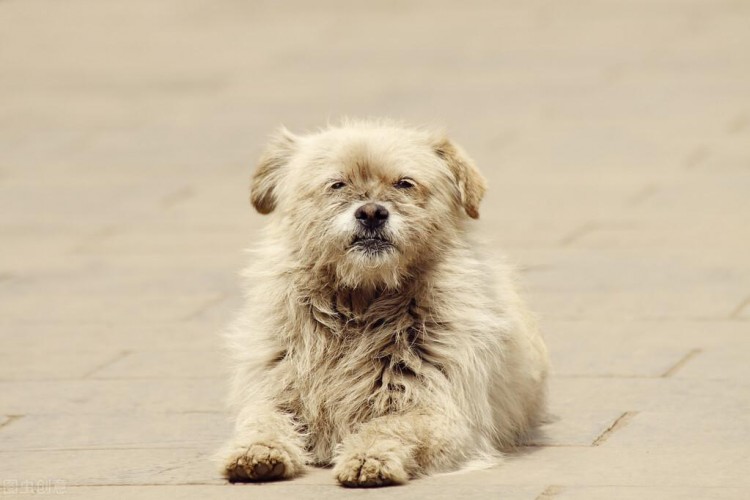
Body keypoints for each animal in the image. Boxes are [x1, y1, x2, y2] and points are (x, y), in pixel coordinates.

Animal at [220, 119, 548, 486]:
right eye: (337, 184)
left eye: (404, 183)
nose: (372, 212)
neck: (360, 302)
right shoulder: (274, 393)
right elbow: (262, 419)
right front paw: (257, 450)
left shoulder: (437, 410)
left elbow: (389, 426)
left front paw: (368, 457)